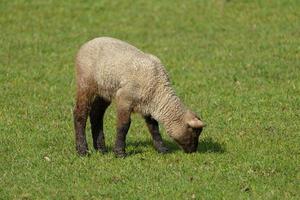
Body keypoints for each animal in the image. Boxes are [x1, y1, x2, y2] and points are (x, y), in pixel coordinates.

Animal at [73, 36, 205, 157]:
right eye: (194, 133)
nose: (193, 151)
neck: (158, 89)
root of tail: (88, 42)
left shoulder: (148, 105)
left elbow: (154, 128)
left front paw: (162, 149)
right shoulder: (124, 99)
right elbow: (123, 126)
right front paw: (120, 153)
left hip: (105, 90)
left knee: (96, 114)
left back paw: (101, 149)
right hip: (85, 83)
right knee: (80, 114)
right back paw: (82, 150)